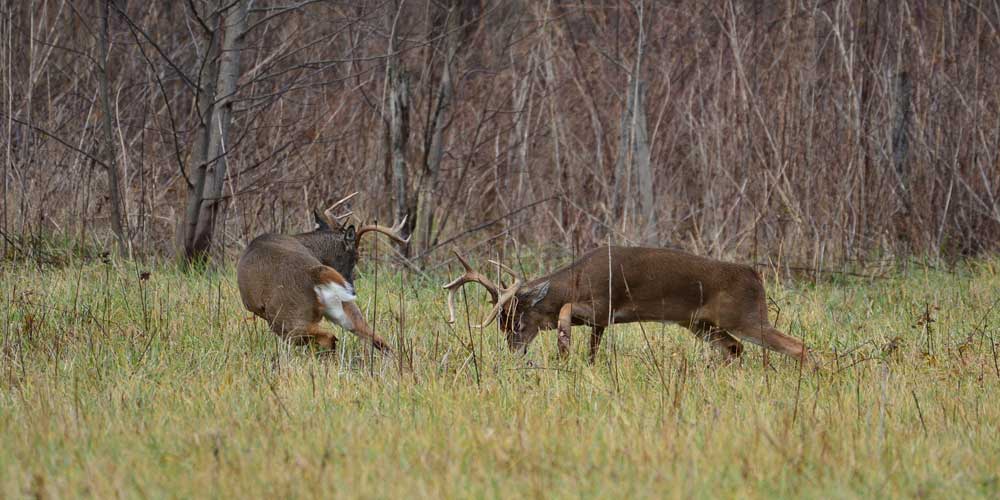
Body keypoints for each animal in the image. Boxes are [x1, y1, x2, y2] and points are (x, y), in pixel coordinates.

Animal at [238, 193, 406, 354]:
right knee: (378, 339)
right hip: (344, 308)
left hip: (285, 317)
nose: (352, 289)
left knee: (327, 337)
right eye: (356, 257)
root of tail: (315, 273)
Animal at [442, 245, 808, 364]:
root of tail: (755, 275)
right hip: (700, 323)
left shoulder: (603, 305)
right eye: (502, 322)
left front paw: (563, 344)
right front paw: (575, 357)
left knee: (798, 346)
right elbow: (592, 350)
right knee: (735, 348)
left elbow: (565, 311)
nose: (513, 350)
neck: (576, 279)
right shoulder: (601, 323)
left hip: (744, 316)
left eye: (518, 320)